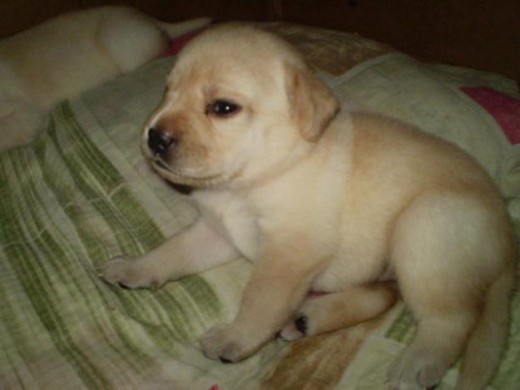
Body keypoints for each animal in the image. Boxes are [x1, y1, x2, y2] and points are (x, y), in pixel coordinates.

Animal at [101, 25, 516, 390]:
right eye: (167, 90)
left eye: (223, 107)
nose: (154, 137)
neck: (256, 176)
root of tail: (508, 241)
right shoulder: (218, 231)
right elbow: (173, 251)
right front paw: (135, 267)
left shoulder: (289, 254)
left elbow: (259, 300)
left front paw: (234, 338)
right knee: (383, 296)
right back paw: (307, 318)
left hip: (425, 226)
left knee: (454, 319)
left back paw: (418, 362)